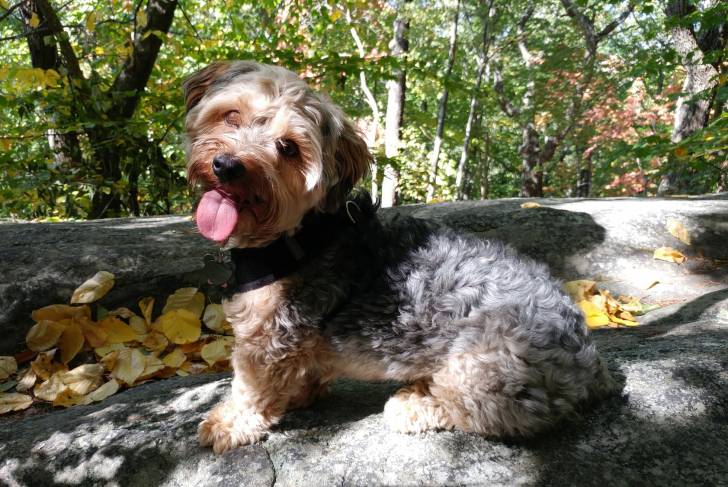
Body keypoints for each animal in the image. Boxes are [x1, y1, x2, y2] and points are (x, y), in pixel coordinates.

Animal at [182, 60, 616, 454]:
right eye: (231, 115)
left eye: (287, 148)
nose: (227, 165)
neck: (301, 234)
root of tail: (592, 365)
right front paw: (300, 394)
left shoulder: (270, 336)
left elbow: (251, 386)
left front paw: (229, 422)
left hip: (485, 367)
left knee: (475, 409)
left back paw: (414, 403)